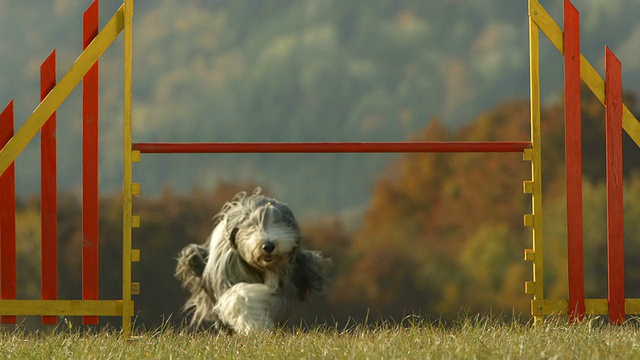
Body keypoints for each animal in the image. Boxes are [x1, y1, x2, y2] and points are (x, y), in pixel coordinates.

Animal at [174, 190, 324, 334]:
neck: (261, 267)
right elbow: (239, 295)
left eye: (278, 223)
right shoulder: (227, 271)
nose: (268, 246)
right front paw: (255, 326)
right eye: (252, 225)